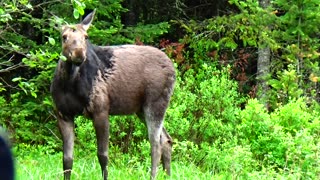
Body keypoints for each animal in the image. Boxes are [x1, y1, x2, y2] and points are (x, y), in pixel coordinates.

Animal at [50, 10, 175, 180]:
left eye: (86, 36)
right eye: (64, 36)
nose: (78, 54)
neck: (69, 83)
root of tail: (173, 69)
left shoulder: (101, 110)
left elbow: (103, 155)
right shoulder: (63, 113)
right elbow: (67, 159)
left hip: (155, 103)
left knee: (155, 143)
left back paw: (153, 176)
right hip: (141, 110)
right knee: (166, 139)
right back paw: (168, 175)